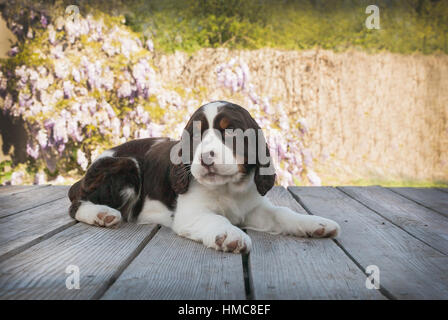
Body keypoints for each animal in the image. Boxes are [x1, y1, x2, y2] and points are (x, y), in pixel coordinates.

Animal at [68, 101, 340, 254]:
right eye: (195, 135)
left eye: (231, 132)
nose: (205, 158)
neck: (228, 188)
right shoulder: (191, 213)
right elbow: (215, 219)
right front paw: (229, 236)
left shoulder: (253, 207)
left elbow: (282, 213)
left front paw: (315, 224)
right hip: (127, 166)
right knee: (76, 205)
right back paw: (102, 214)